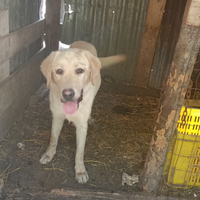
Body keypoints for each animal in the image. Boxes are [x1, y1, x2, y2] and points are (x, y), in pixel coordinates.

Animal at [40, 41, 125, 184]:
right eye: (59, 71)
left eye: (80, 70)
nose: (68, 94)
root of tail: (84, 42)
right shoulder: (57, 118)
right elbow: (53, 139)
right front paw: (48, 154)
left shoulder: (81, 126)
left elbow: (79, 151)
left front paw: (80, 171)